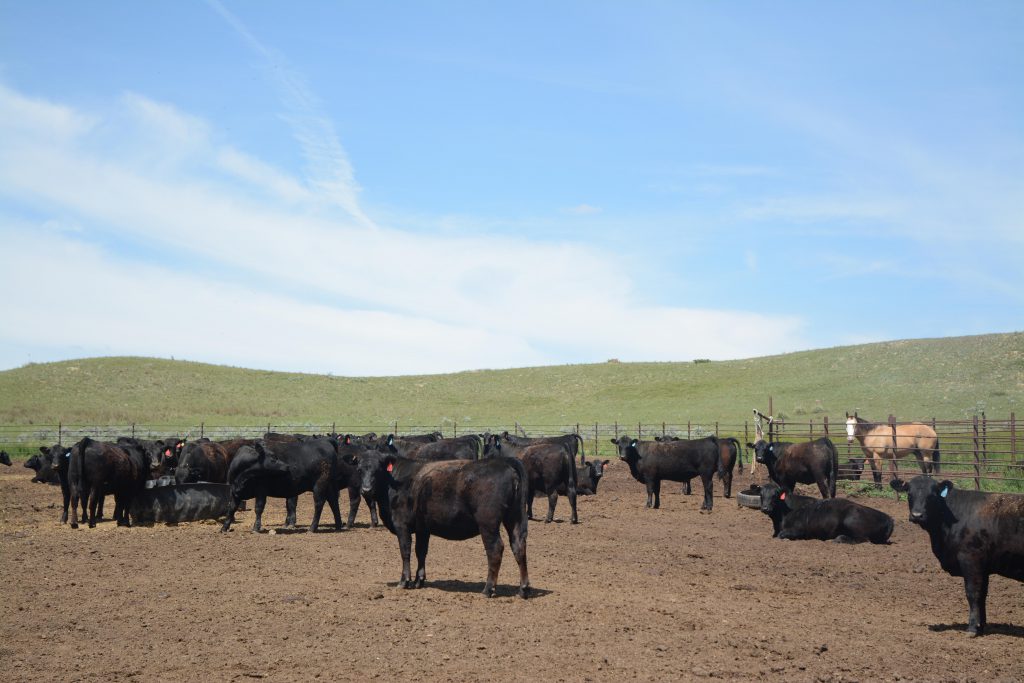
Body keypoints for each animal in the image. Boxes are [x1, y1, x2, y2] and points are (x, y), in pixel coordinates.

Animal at [358, 448, 532, 598]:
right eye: (359, 469)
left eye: (378, 469)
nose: (366, 490)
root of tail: (504, 461)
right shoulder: (423, 528)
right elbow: (421, 551)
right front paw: (419, 581)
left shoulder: (402, 525)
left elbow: (405, 551)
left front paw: (404, 581)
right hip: (514, 518)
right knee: (518, 546)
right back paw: (523, 589)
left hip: (488, 523)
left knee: (495, 549)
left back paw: (488, 589)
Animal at [757, 483, 892, 548]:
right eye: (761, 494)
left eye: (775, 495)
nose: (765, 508)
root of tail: (888, 518)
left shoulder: (798, 530)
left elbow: (781, 535)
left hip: (852, 519)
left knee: (863, 539)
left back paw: (838, 538)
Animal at [888, 475, 1024, 634]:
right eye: (909, 494)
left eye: (932, 496)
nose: (917, 515)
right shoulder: (983, 567)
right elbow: (982, 595)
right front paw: (981, 626)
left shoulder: (970, 559)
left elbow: (973, 593)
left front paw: (972, 628)